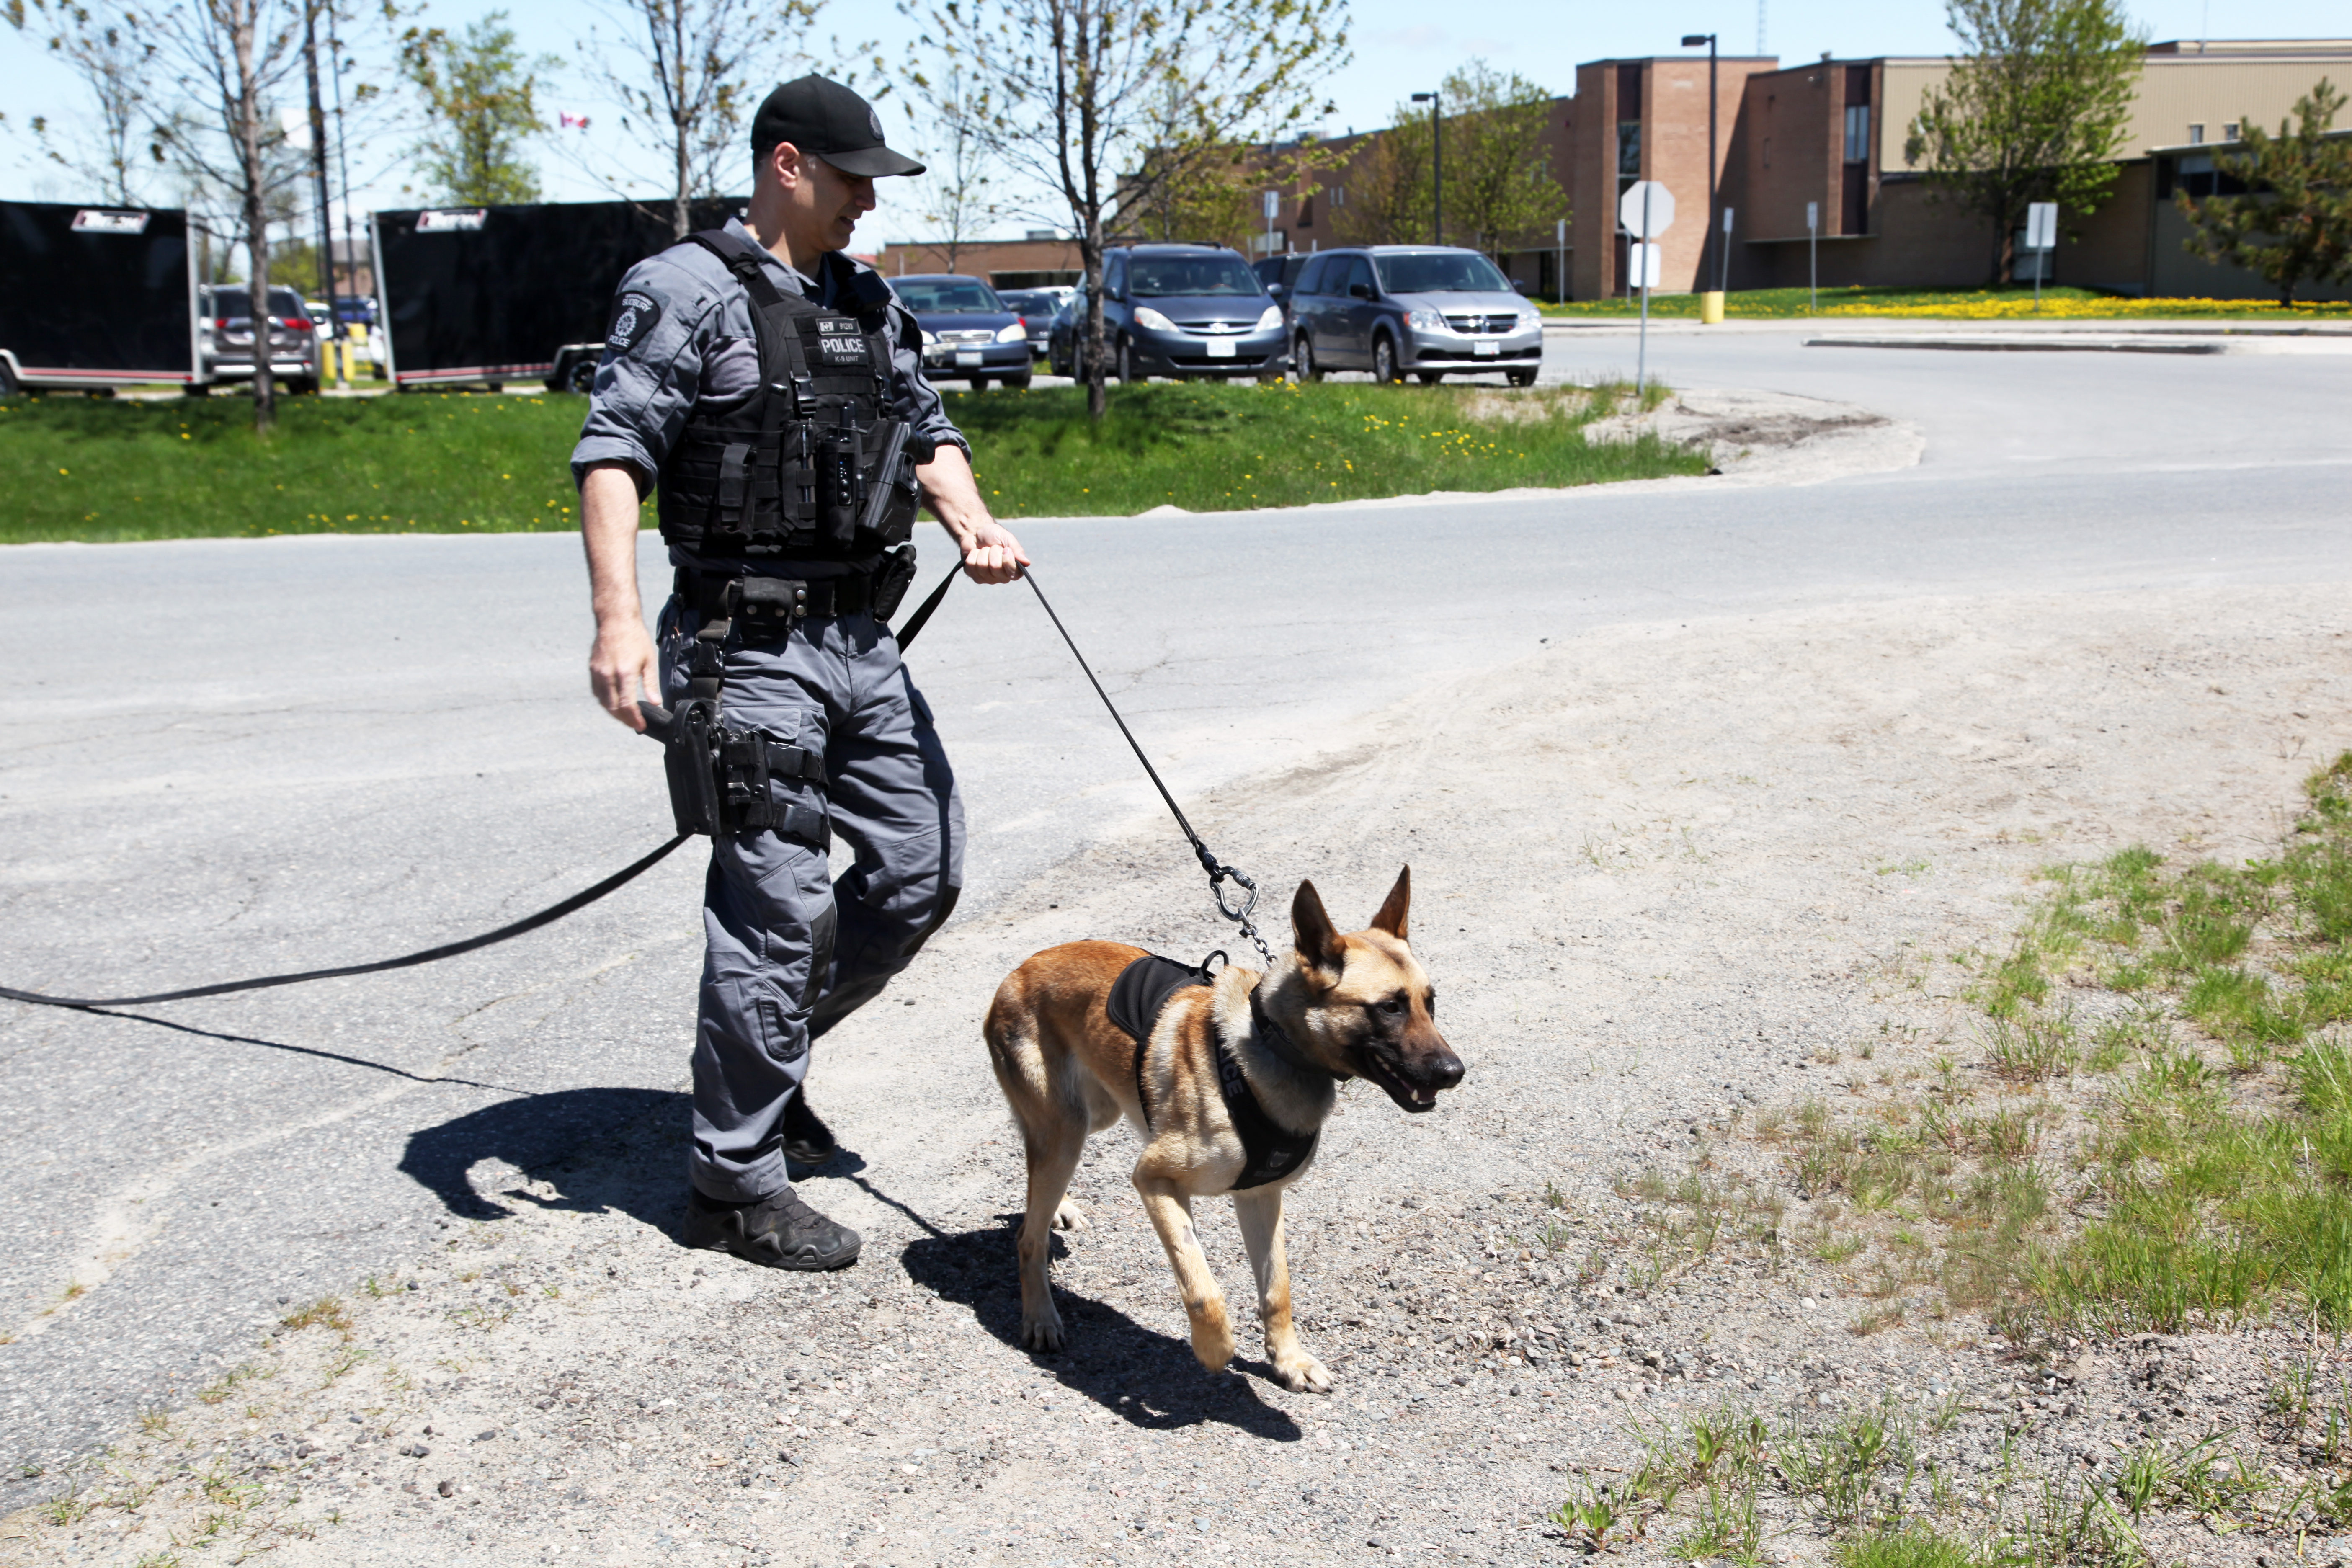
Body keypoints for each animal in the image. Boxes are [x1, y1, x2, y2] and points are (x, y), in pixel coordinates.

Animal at [969, 869, 1449, 1401]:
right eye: (1389, 1008)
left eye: (1430, 1004)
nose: (1455, 1072)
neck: (1271, 1043)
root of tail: (1018, 971)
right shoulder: (1155, 1181)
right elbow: (1203, 1289)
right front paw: (1214, 1351)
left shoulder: (1261, 1195)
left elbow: (1277, 1289)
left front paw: (1289, 1361)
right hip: (1066, 1131)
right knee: (1028, 1238)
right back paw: (1040, 1316)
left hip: (1093, 1115)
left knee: (1036, 1172)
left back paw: (1062, 1209)